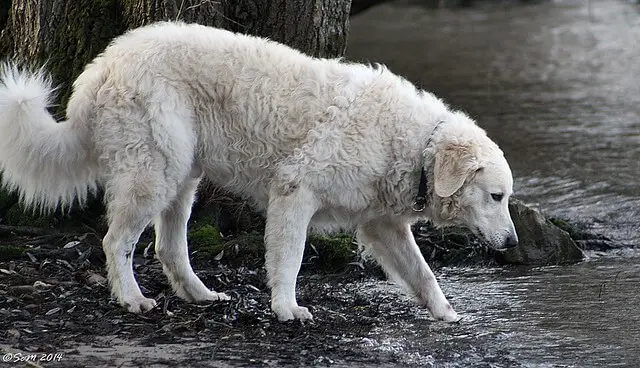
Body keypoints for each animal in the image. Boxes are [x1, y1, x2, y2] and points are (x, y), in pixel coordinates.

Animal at [0, 23, 516, 322]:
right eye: (497, 196)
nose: (513, 243)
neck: (415, 144)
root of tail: (105, 62)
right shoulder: (295, 193)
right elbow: (289, 260)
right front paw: (287, 309)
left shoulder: (382, 225)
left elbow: (423, 272)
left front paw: (447, 313)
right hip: (154, 173)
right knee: (116, 242)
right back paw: (130, 298)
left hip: (182, 176)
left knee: (168, 248)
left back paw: (200, 295)